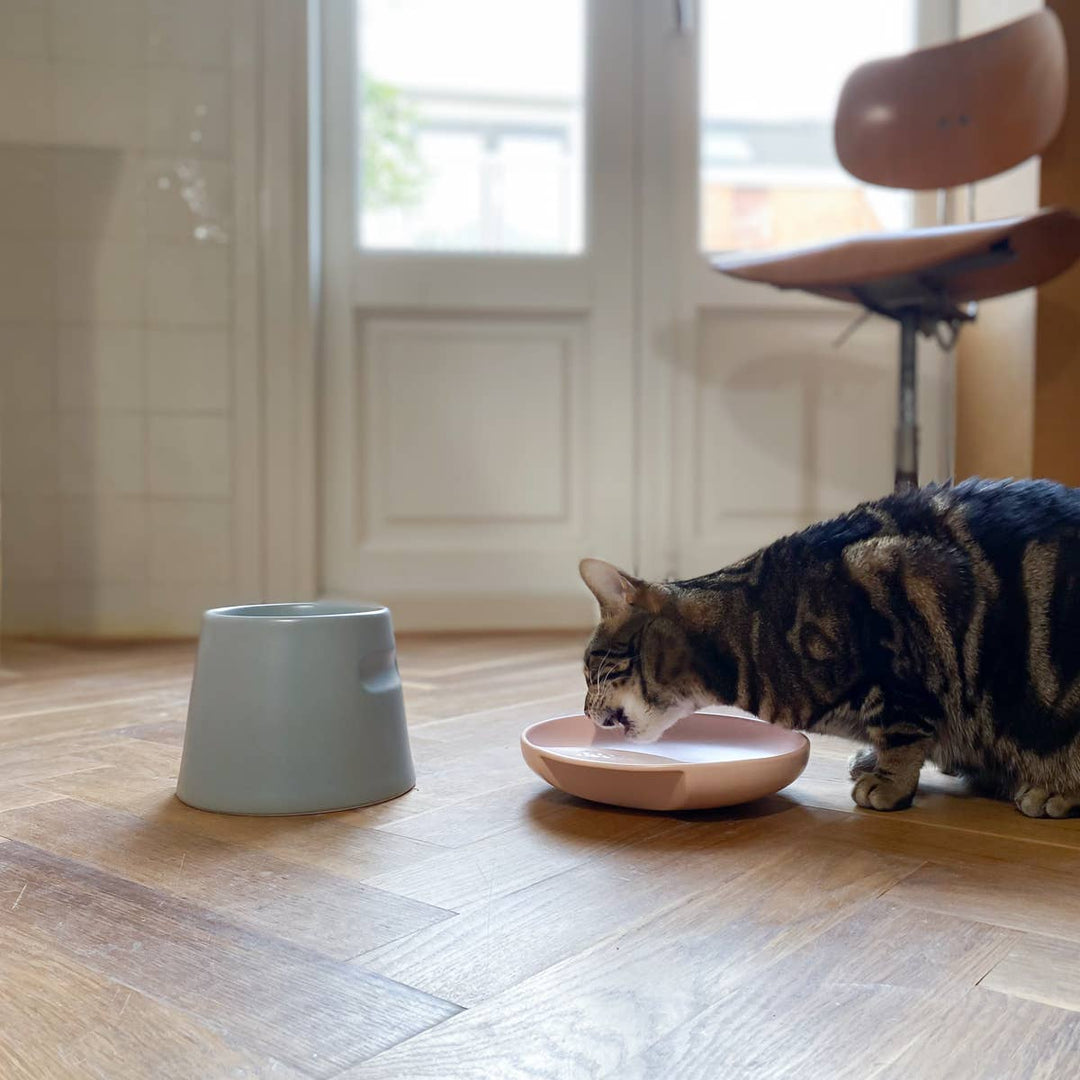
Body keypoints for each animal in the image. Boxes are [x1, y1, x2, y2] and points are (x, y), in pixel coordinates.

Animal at [583, 477, 1080, 812]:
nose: (585, 711)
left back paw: (1053, 791)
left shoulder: (908, 596)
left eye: (589, 670)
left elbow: (903, 728)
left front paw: (890, 780)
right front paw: (879, 762)